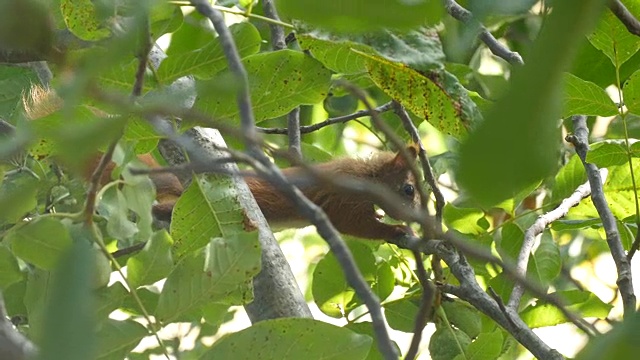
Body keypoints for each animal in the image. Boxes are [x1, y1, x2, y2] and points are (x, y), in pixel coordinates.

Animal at [21, 86, 420, 240]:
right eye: (409, 189)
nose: (419, 218)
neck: (365, 176)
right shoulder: (343, 197)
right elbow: (352, 224)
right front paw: (394, 230)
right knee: (164, 204)